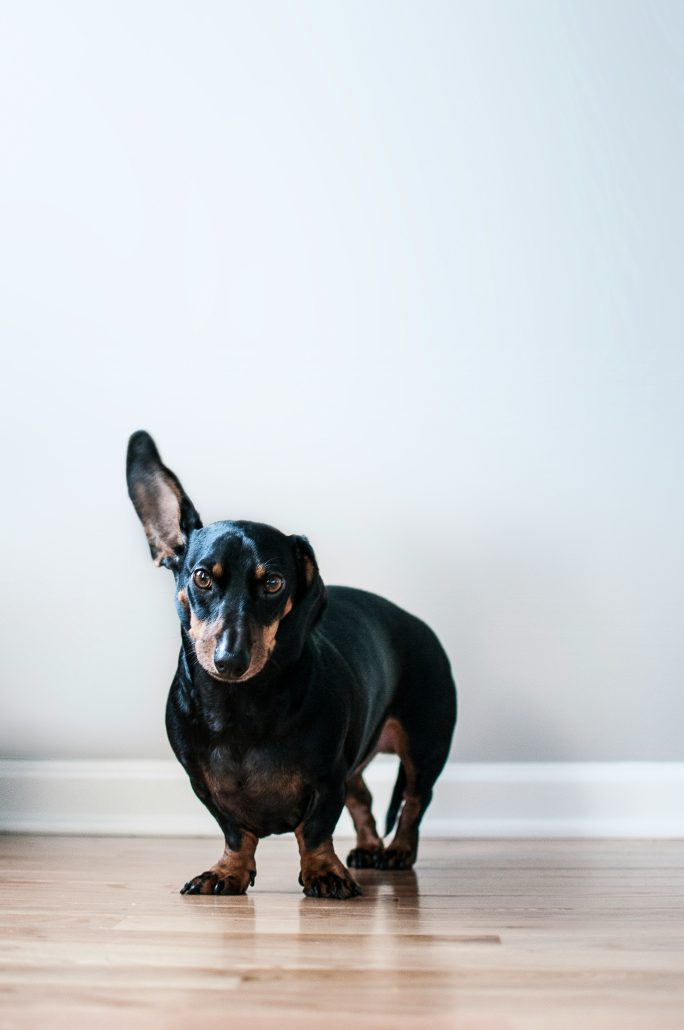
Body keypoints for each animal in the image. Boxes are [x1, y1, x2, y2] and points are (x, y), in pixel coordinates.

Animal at [125, 430, 457, 898]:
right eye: (202, 577)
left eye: (273, 583)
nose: (230, 660)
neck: (239, 706)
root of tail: (415, 621)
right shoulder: (204, 785)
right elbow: (236, 832)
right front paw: (228, 871)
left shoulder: (327, 777)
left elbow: (315, 829)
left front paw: (324, 872)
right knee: (364, 799)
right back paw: (369, 848)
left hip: (424, 745)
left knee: (413, 801)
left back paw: (397, 852)